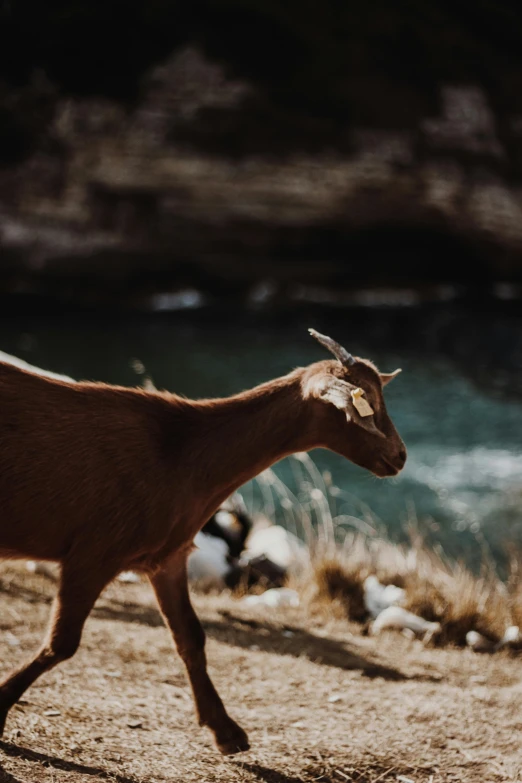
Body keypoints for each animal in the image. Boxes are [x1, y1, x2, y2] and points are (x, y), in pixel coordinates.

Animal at [0, 330, 404, 752]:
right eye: (365, 405)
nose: (400, 455)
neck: (182, 454)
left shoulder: (167, 558)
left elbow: (190, 638)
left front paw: (225, 730)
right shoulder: (94, 554)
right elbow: (61, 643)